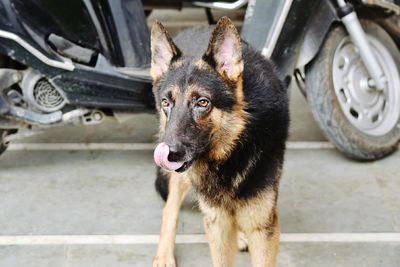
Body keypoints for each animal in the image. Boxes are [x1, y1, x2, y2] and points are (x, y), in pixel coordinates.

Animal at [150, 17, 288, 267]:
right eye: (166, 102)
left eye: (203, 102)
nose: (168, 154)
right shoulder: (217, 225)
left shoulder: (263, 228)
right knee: (170, 209)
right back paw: (164, 255)